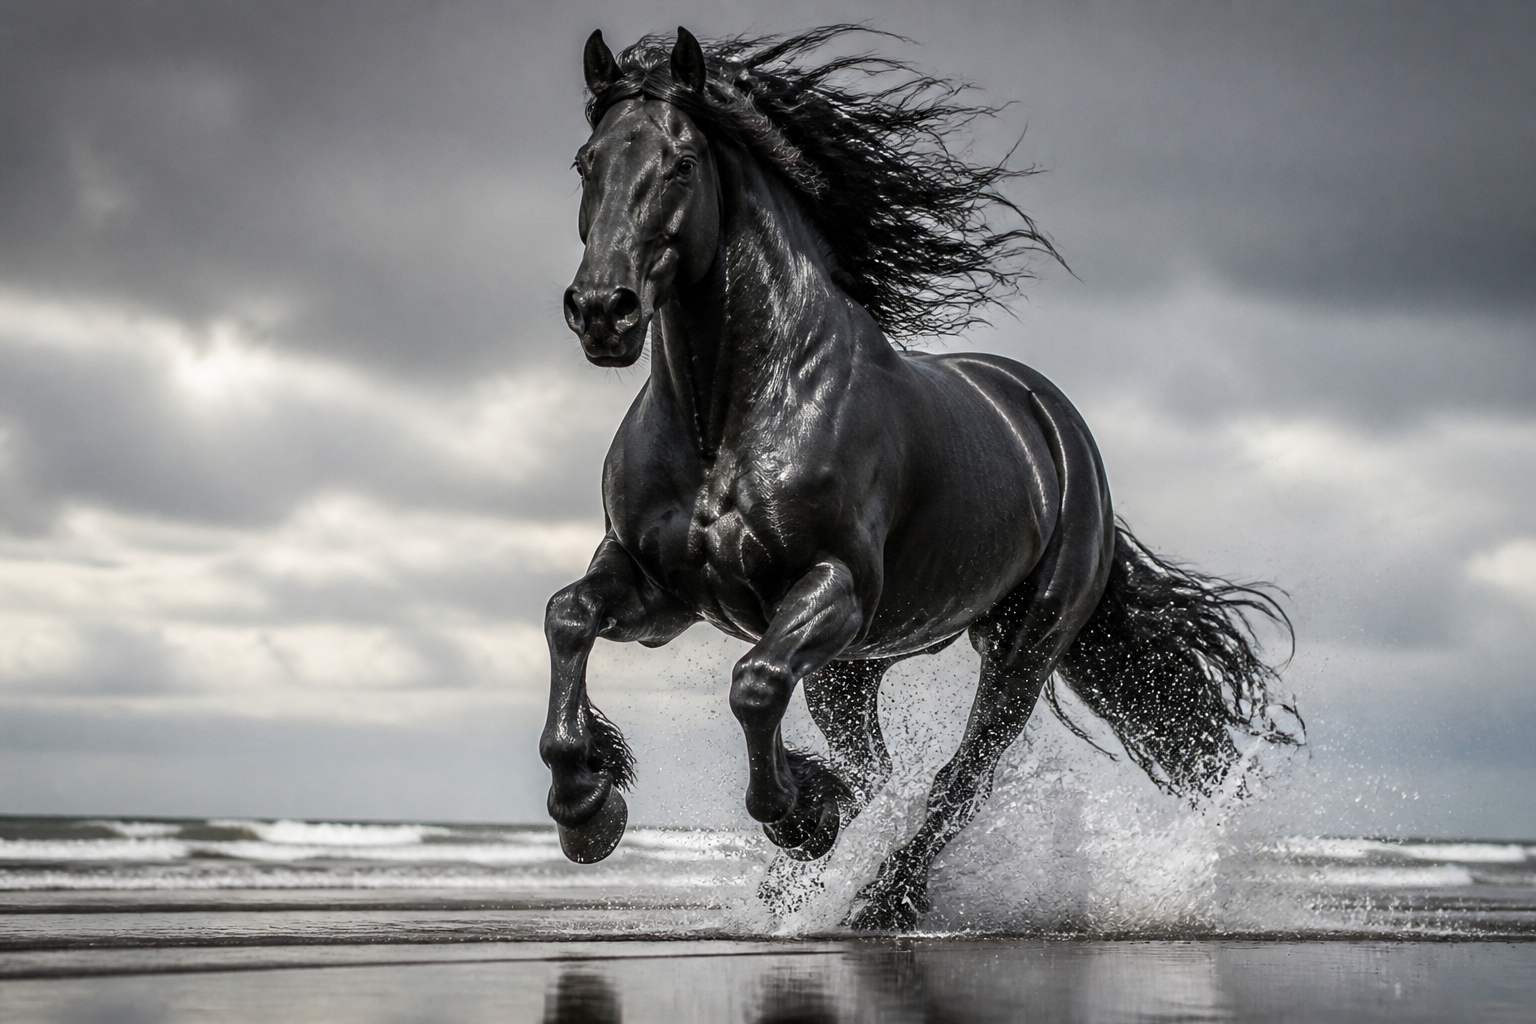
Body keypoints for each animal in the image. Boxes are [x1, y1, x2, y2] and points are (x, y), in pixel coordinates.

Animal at [540, 26, 1298, 931]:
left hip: (1018, 648)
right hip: (851, 670)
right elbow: (568, 617)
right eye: (586, 161)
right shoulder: (661, 588)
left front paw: (804, 817)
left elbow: (754, 685)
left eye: (681, 161)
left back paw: (884, 899)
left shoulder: (832, 587)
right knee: (887, 771)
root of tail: (1062, 434)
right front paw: (587, 806)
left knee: (957, 779)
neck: (725, 419)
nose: (602, 311)